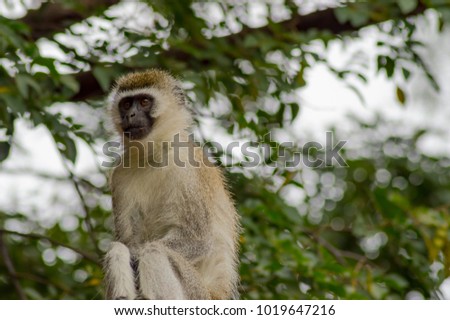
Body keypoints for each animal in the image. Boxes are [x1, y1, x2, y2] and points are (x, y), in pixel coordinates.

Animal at [103, 70, 241, 300]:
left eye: (144, 101)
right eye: (126, 104)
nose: (130, 115)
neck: (154, 154)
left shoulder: (187, 168)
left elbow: (197, 240)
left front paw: (136, 255)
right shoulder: (120, 175)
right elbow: (127, 241)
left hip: (198, 293)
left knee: (154, 252)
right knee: (118, 249)